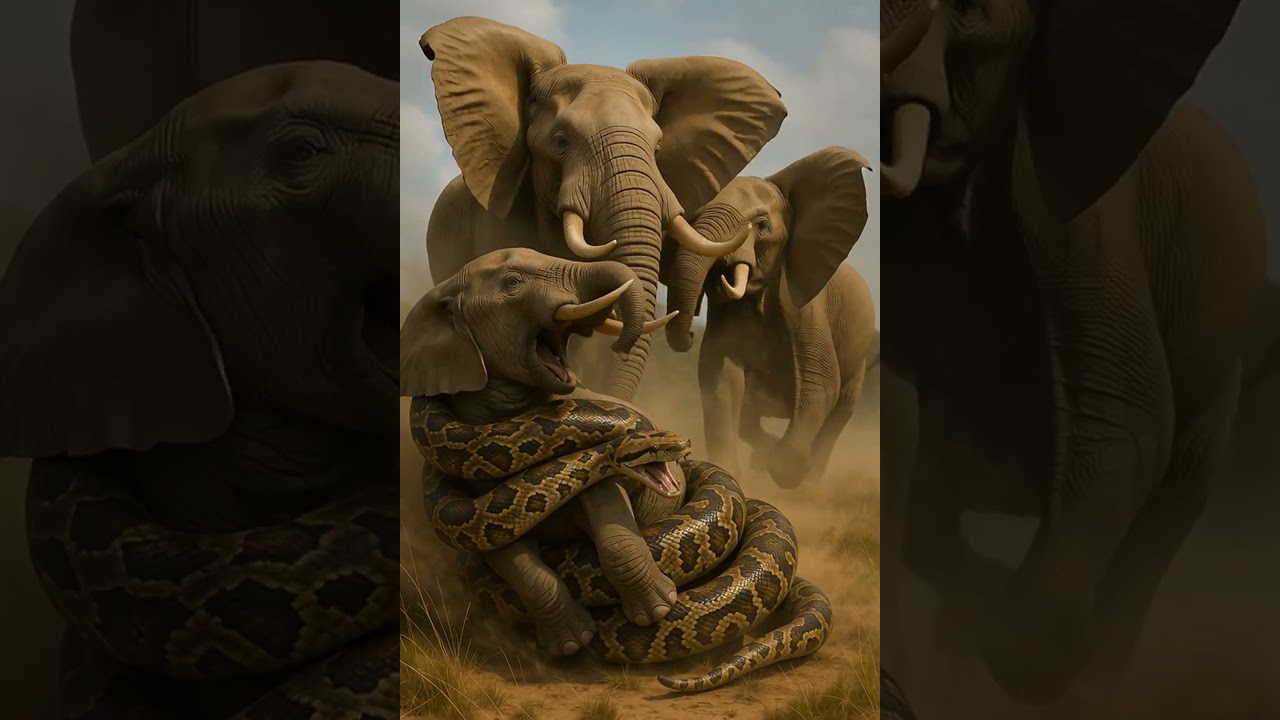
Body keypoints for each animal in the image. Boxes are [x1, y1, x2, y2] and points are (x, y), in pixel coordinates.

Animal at [399, 247, 685, 657]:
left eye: (667, 439)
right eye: (656, 447)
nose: (683, 444)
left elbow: (613, 526)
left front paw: (657, 607)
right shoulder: (485, 525)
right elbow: (517, 563)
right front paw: (573, 639)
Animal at [670, 147, 876, 489]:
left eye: (762, 225)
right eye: (694, 218)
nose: (687, 336)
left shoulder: (806, 303)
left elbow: (821, 385)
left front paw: (787, 471)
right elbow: (720, 377)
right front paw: (731, 470)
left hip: (860, 360)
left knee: (840, 411)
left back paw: (808, 482)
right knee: (748, 417)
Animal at [879, 0, 1266, 705]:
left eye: (971, 13)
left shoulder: (1085, 206)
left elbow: (1126, 430)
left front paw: (1037, 645)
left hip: (1225, 370)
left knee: (1176, 498)